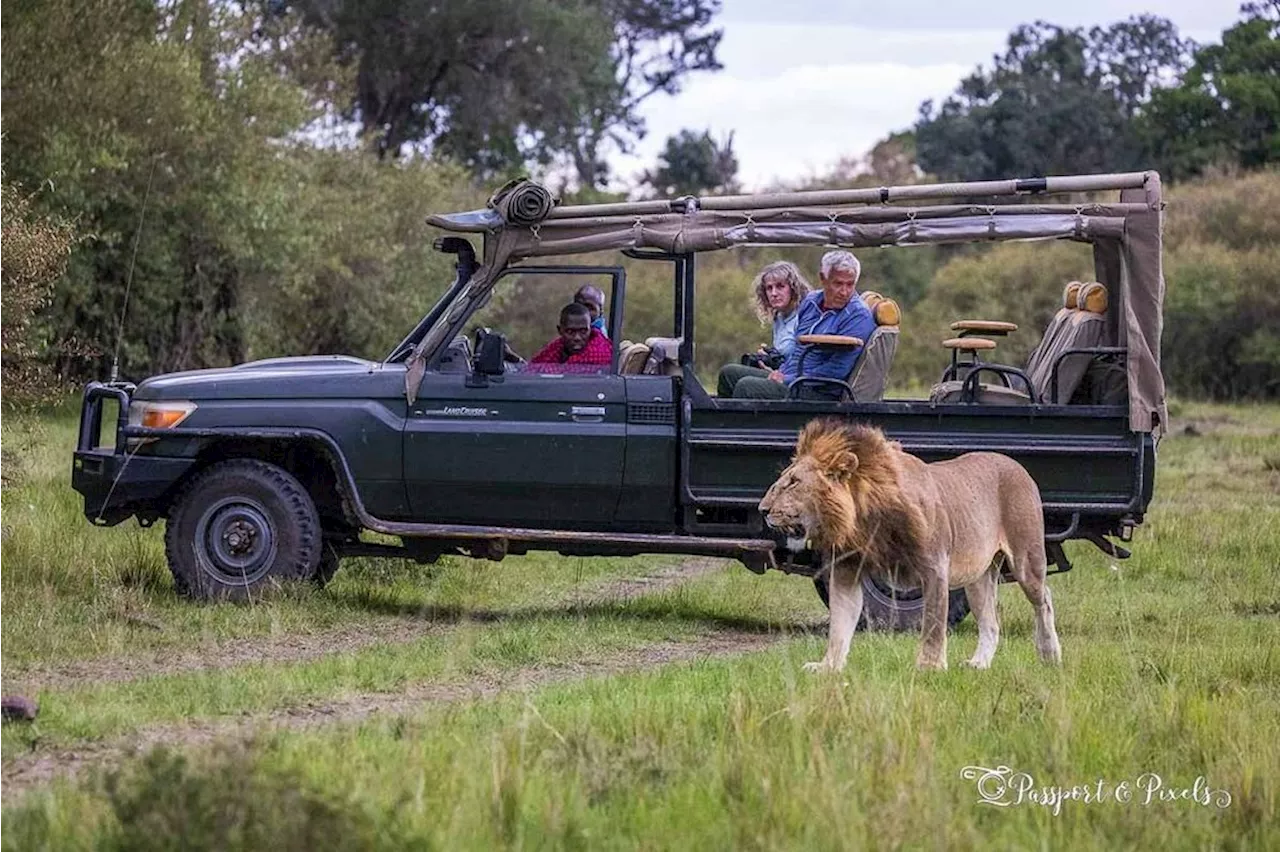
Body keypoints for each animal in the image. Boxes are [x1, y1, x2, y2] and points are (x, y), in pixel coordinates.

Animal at [757, 417, 1059, 670]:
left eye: (794, 482)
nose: (762, 509)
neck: (865, 520)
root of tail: (1016, 465)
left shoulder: (935, 569)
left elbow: (933, 624)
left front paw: (929, 667)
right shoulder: (846, 571)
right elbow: (840, 626)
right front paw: (827, 667)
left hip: (1025, 559)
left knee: (1044, 597)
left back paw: (1050, 654)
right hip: (978, 577)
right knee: (991, 622)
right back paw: (979, 664)